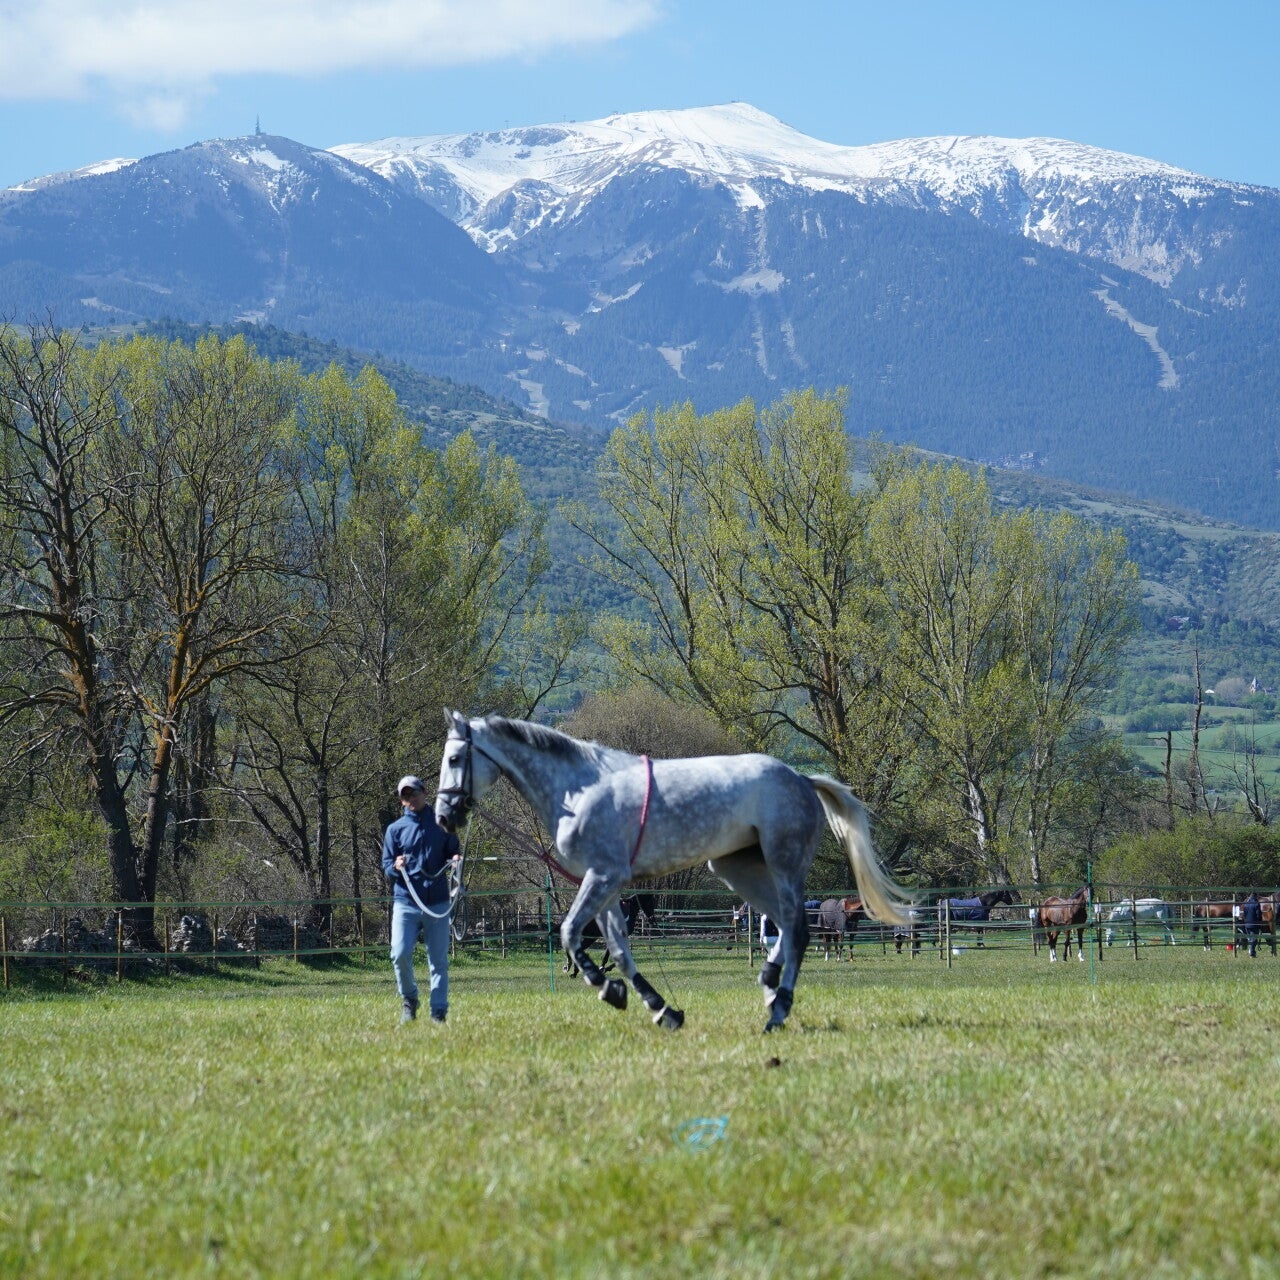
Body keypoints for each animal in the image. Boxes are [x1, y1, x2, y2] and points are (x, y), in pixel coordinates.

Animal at [434, 711, 915, 1032]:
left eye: (455, 758)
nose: (444, 815)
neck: (578, 789)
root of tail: (801, 778)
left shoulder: (602, 878)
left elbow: (572, 933)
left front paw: (608, 989)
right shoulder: (606, 884)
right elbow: (619, 949)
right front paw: (660, 1008)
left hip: (784, 866)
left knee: (797, 930)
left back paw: (778, 1010)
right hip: (736, 869)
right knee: (783, 926)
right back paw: (768, 986)